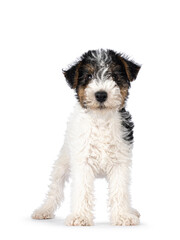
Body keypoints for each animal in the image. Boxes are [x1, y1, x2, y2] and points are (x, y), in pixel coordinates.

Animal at [32, 49, 142, 227]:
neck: (101, 120)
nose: (101, 95)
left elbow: (120, 190)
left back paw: (131, 211)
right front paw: (80, 217)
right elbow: (82, 190)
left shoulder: (120, 163)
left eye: (114, 75)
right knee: (54, 190)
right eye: (89, 76)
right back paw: (44, 210)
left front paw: (122, 216)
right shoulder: (83, 162)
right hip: (62, 165)